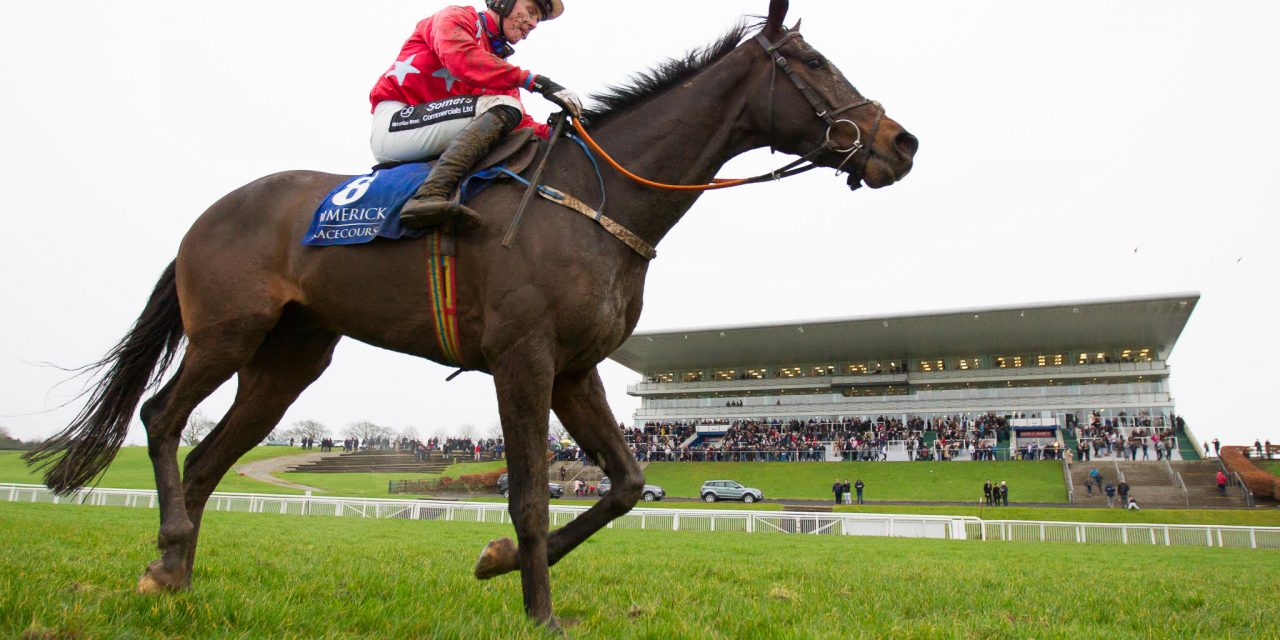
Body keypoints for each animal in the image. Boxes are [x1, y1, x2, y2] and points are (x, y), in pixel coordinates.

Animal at [25, 0, 916, 626]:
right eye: (813, 62)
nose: (900, 143)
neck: (596, 198)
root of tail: (207, 216)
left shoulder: (575, 368)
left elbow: (627, 484)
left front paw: (495, 561)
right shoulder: (522, 358)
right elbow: (529, 496)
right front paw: (539, 612)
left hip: (289, 359)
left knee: (209, 457)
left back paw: (172, 571)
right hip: (226, 329)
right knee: (160, 415)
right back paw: (171, 550)